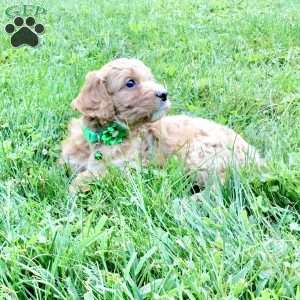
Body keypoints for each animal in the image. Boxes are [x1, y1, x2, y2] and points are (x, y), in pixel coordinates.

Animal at [60, 57, 260, 191]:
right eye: (130, 83)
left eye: (150, 79)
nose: (164, 94)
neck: (102, 134)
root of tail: (257, 158)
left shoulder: (127, 167)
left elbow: (91, 175)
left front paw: (73, 188)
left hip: (199, 152)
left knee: (222, 186)